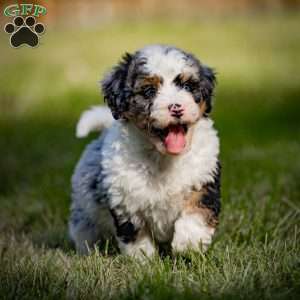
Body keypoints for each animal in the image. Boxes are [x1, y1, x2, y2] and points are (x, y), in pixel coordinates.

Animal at [69, 44, 221, 258]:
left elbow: (196, 213)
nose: (176, 107)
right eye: (149, 91)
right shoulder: (125, 201)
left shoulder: (203, 180)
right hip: (85, 213)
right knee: (85, 231)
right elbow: (137, 235)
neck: (163, 157)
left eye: (187, 87)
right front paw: (144, 260)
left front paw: (189, 244)